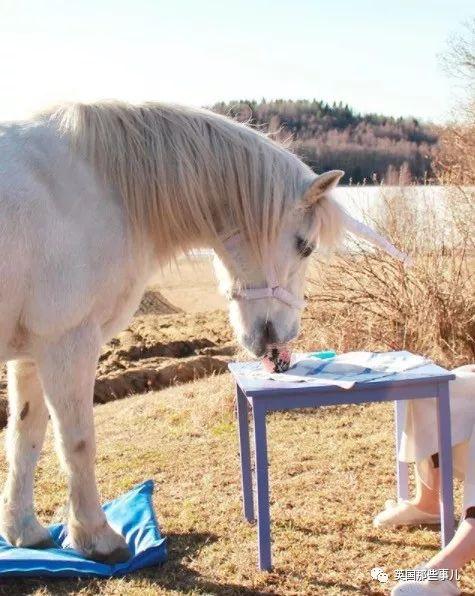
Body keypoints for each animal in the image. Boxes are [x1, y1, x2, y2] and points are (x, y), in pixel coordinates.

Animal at [0, 102, 402, 564]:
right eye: (305, 247)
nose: (286, 344)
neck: (96, 186)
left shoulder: (31, 354)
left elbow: (25, 438)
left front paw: (25, 532)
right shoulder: (68, 343)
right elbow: (78, 442)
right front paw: (97, 537)